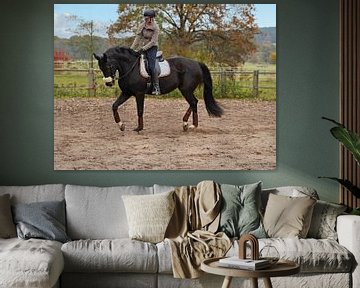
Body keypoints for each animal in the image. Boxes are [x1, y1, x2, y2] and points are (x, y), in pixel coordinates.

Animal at [93, 47, 222, 133]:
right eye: (100, 67)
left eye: (109, 66)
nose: (109, 83)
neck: (130, 67)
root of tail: (196, 63)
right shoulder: (126, 93)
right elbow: (114, 106)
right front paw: (121, 125)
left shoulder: (139, 94)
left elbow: (140, 110)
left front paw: (139, 128)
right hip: (186, 90)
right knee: (194, 102)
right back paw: (186, 124)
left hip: (186, 90)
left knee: (194, 102)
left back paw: (191, 125)